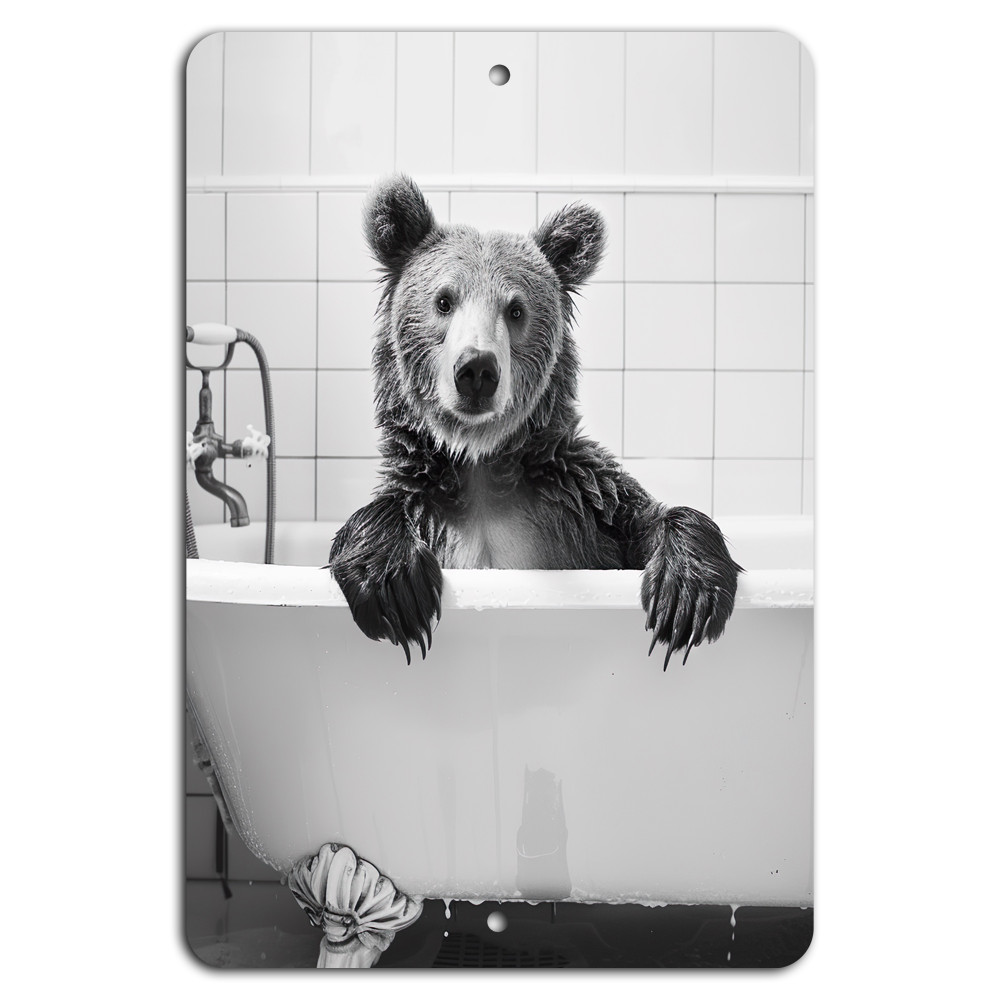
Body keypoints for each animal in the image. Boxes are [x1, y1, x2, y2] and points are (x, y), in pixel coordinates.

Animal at [328, 175, 741, 669]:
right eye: (444, 301)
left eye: (515, 309)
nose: (477, 369)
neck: (479, 463)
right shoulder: (426, 503)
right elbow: (382, 513)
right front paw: (396, 588)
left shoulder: (580, 502)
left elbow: (647, 516)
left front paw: (687, 593)